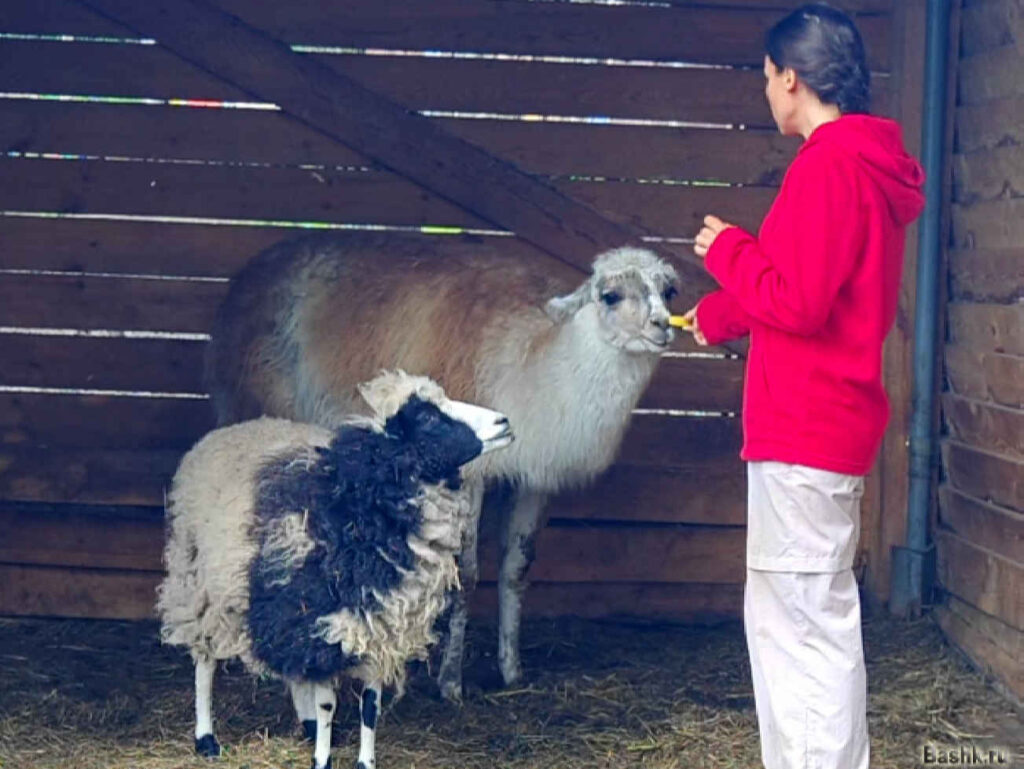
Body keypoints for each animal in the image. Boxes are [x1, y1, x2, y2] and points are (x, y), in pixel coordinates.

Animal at [156, 370, 514, 769]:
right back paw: (206, 737)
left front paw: (364, 761)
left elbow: (370, 706)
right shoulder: (325, 621)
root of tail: (220, 434)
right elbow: (328, 703)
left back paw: (306, 724)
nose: (504, 422)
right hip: (197, 580)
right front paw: (322, 759)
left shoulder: (377, 625)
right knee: (204, 660)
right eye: (426, 417)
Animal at [206, 233, 680, 701]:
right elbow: (465, 576)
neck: (529, 365)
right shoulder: (471, 468)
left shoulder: (536, 476)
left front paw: (511, 670)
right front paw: (451, 683)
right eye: (610, 295)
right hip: (260, 400)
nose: (662, 326)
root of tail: (248, 276)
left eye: (669, 291)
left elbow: (516, 569)